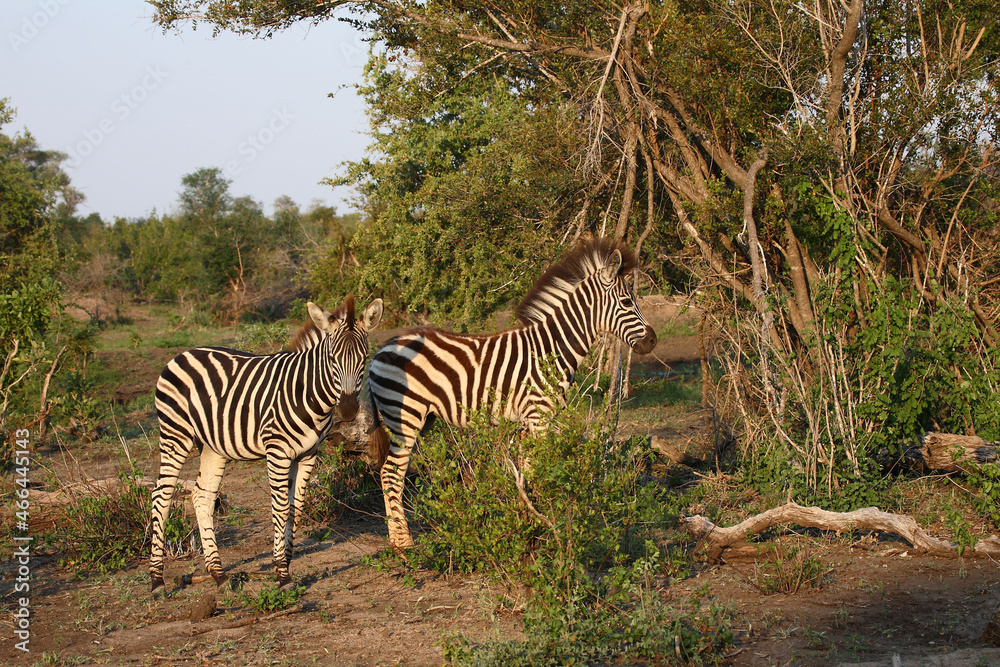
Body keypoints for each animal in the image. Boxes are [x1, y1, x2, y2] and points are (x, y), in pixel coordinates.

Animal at [148, 296, 383, 594]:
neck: (308, 393)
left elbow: (296, 507)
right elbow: (280, 507)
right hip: (175, 433)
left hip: (213, 445)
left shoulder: (308, 454)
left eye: (364, 358)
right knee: (161, 496)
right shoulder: (277, 451)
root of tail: (182, 354)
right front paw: (282, 573)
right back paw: (157, 579)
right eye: (332, 359)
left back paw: (218, 573)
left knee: (202, 496)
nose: (350, 409)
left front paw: (284, 561)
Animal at [367, 237, 657, 549]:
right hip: (405, 417)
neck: (552, 349)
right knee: (391, 473)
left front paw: (529, 522)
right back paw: (403, 543)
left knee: (389, 473)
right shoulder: (540, 416)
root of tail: (382, 348)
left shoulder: (530, 420)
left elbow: (526, 472)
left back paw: (397, 538)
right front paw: (546, 525)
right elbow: (540, 470)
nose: (652, 341)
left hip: (418, 418)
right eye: (627, 302)